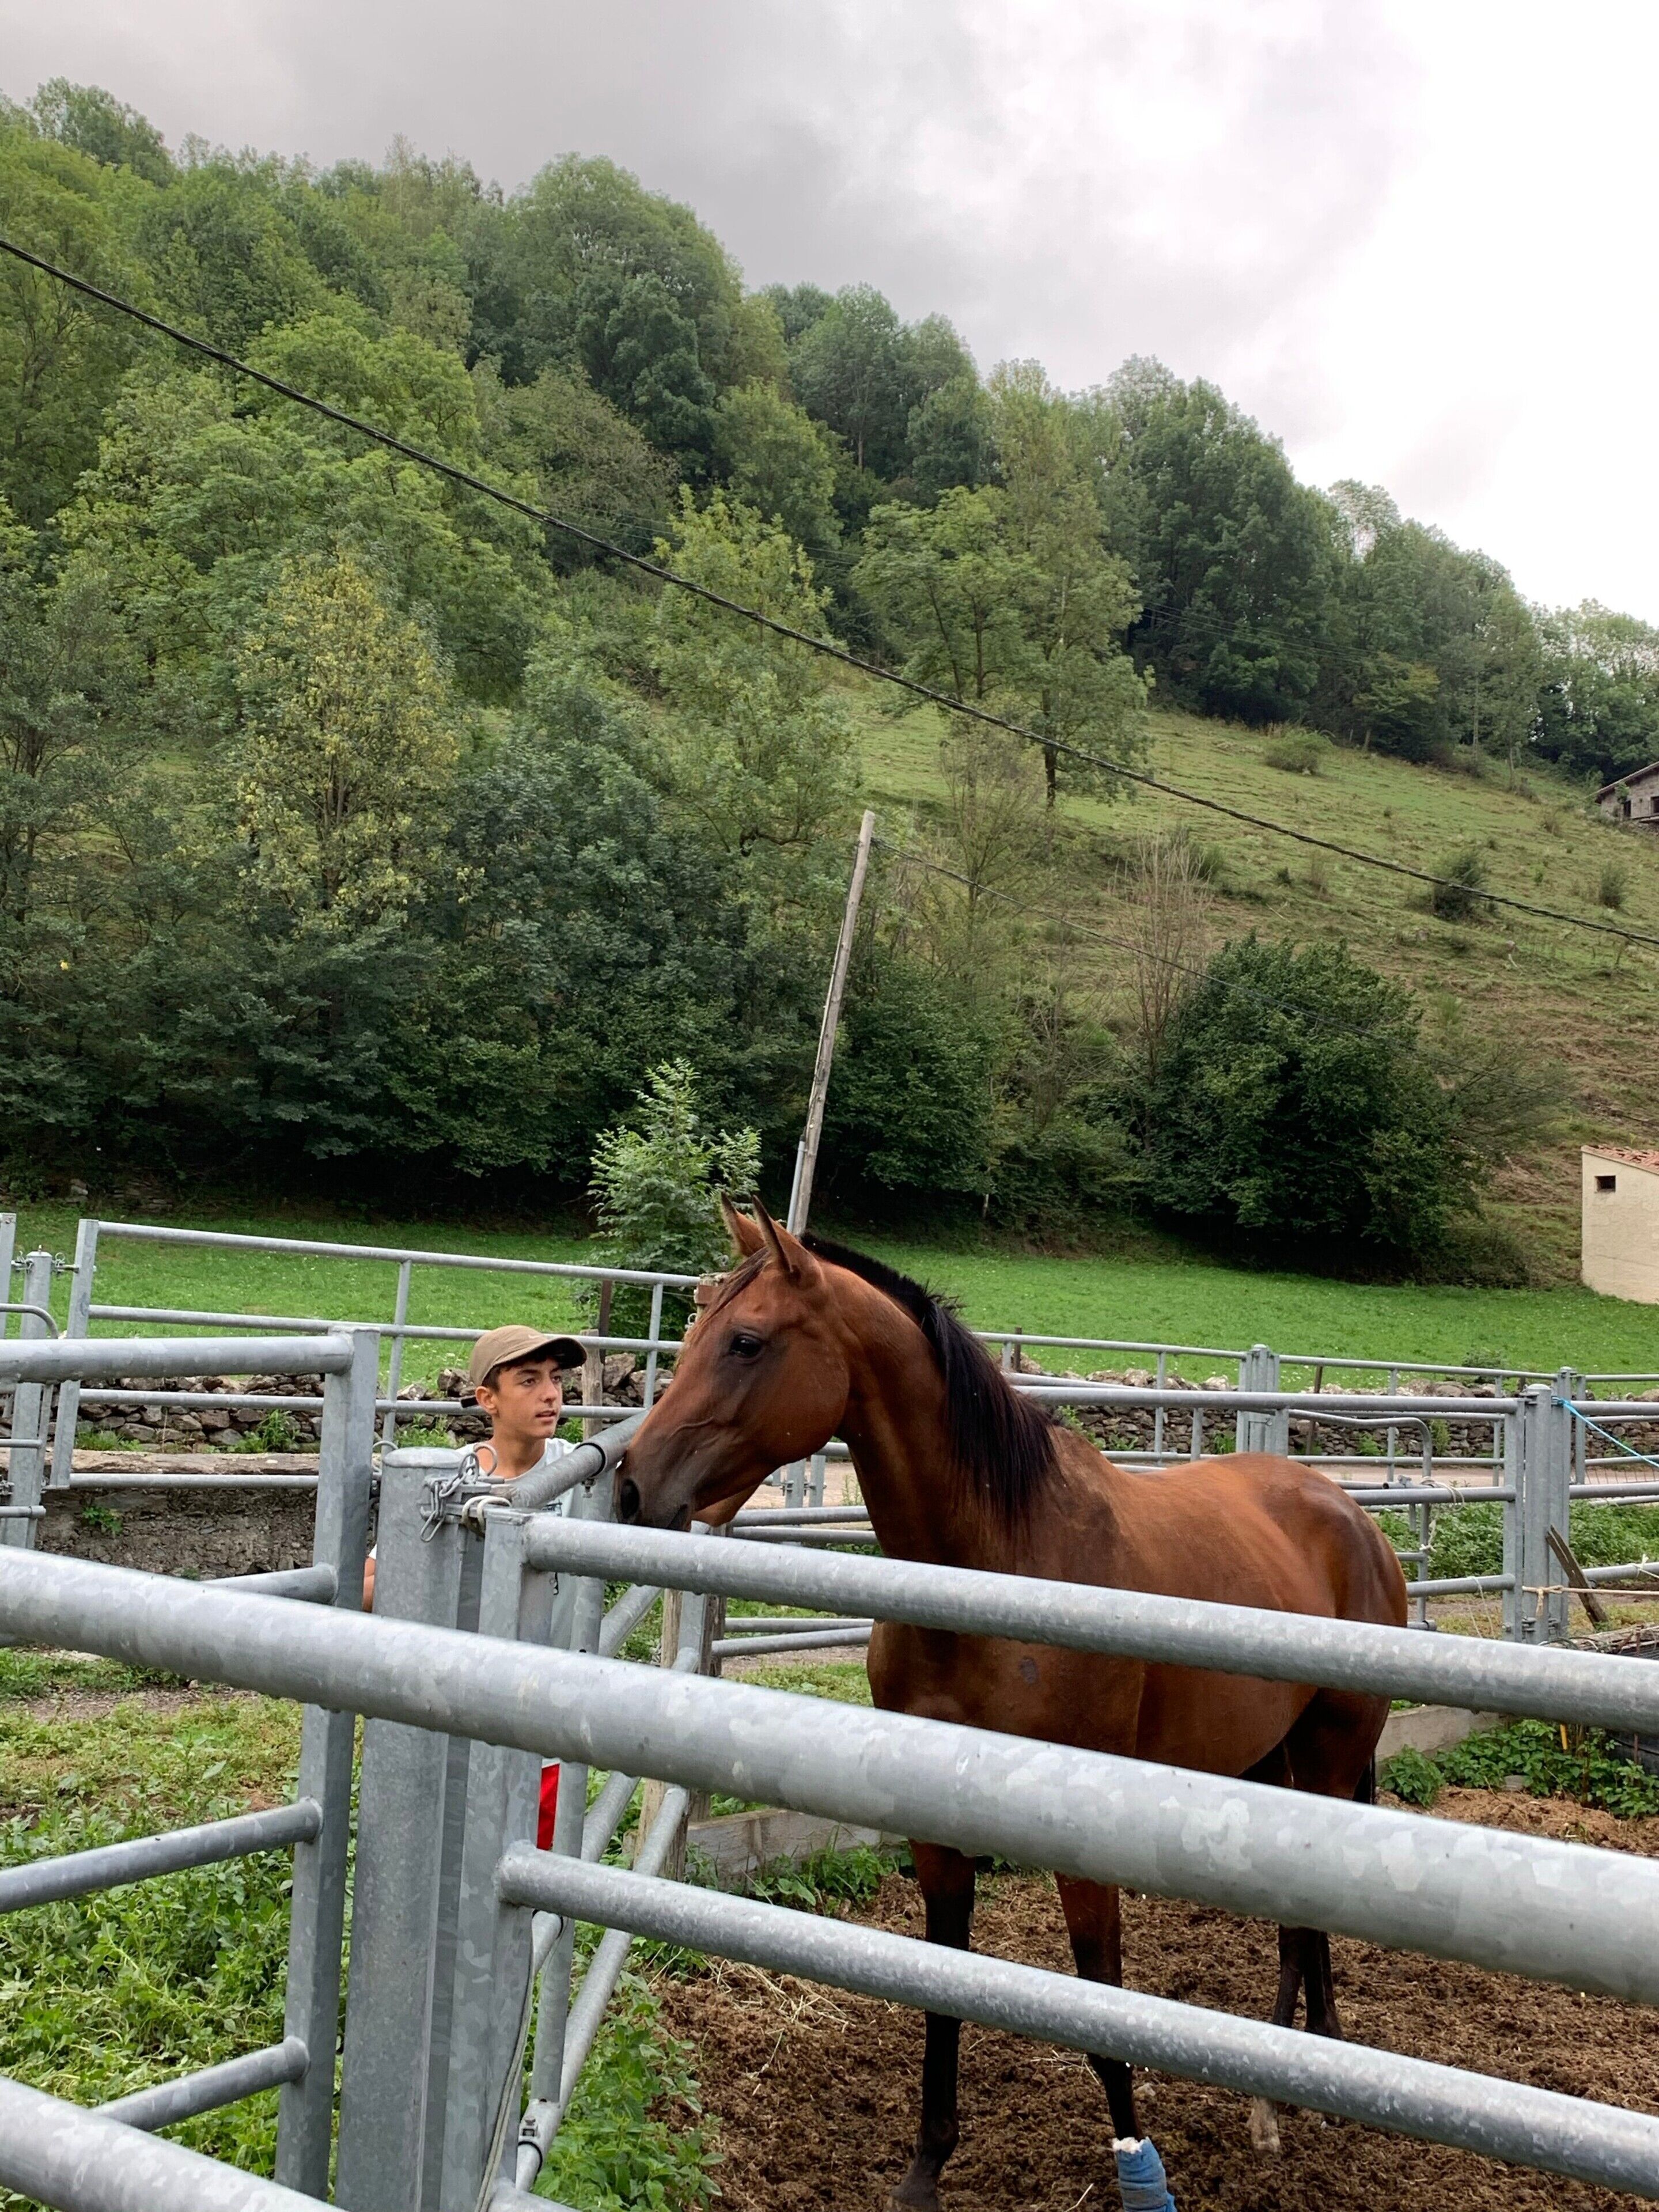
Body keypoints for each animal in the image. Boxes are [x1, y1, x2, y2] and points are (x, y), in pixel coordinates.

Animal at [618, 1201, 1408, 2209]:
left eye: (747, 1341)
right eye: (691, 1333)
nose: (633, 1485)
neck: (998, 1569)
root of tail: (1348, 1514)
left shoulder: (1083, 1836)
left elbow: (1100, 1998)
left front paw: (1140, 2171)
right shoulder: (934, 1830)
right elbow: (943, 1988)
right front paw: (925, 2171)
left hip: (1331, 1755)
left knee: (1306, 1922)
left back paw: (1290, 2092)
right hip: (1275, 1763)